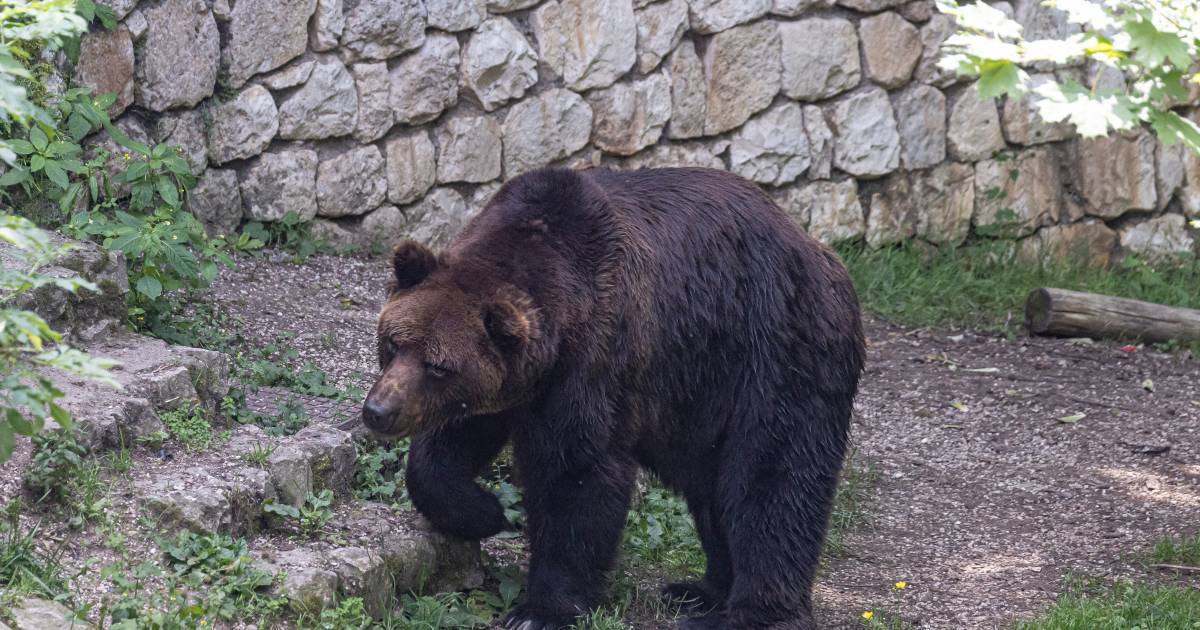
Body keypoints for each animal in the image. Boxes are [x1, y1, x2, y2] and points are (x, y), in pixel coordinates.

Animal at [360, 166, 868, 628]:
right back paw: (700, 592)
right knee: (712, 488)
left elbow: (578, 474)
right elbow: (448, 447)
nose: (378, 411)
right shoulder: (508, 388)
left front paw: (540, 610)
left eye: (438, 366)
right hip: (700, 397)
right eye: (394, 343)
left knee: (771, 480)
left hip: (775, 351)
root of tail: (815, 247)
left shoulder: (596, 360)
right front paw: (484, 510)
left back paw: (752, 614)